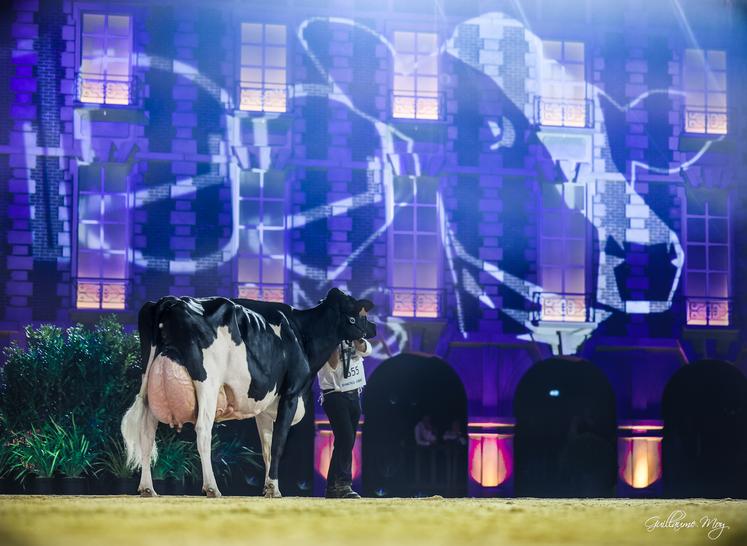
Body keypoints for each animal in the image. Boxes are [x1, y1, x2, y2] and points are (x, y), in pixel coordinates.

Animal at [125, 286, 376, 496]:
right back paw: (212, 488)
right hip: (207, 383)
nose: (373, 328)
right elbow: (279, 443)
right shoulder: (291, 393)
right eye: (360, 313)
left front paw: (269, 488)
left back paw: (147, 489)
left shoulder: (264, 408)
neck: (302, 334)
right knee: (202, 431)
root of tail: (170, 301)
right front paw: (274, 488)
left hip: (148, 385)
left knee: (146, 433)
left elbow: (267, 448)